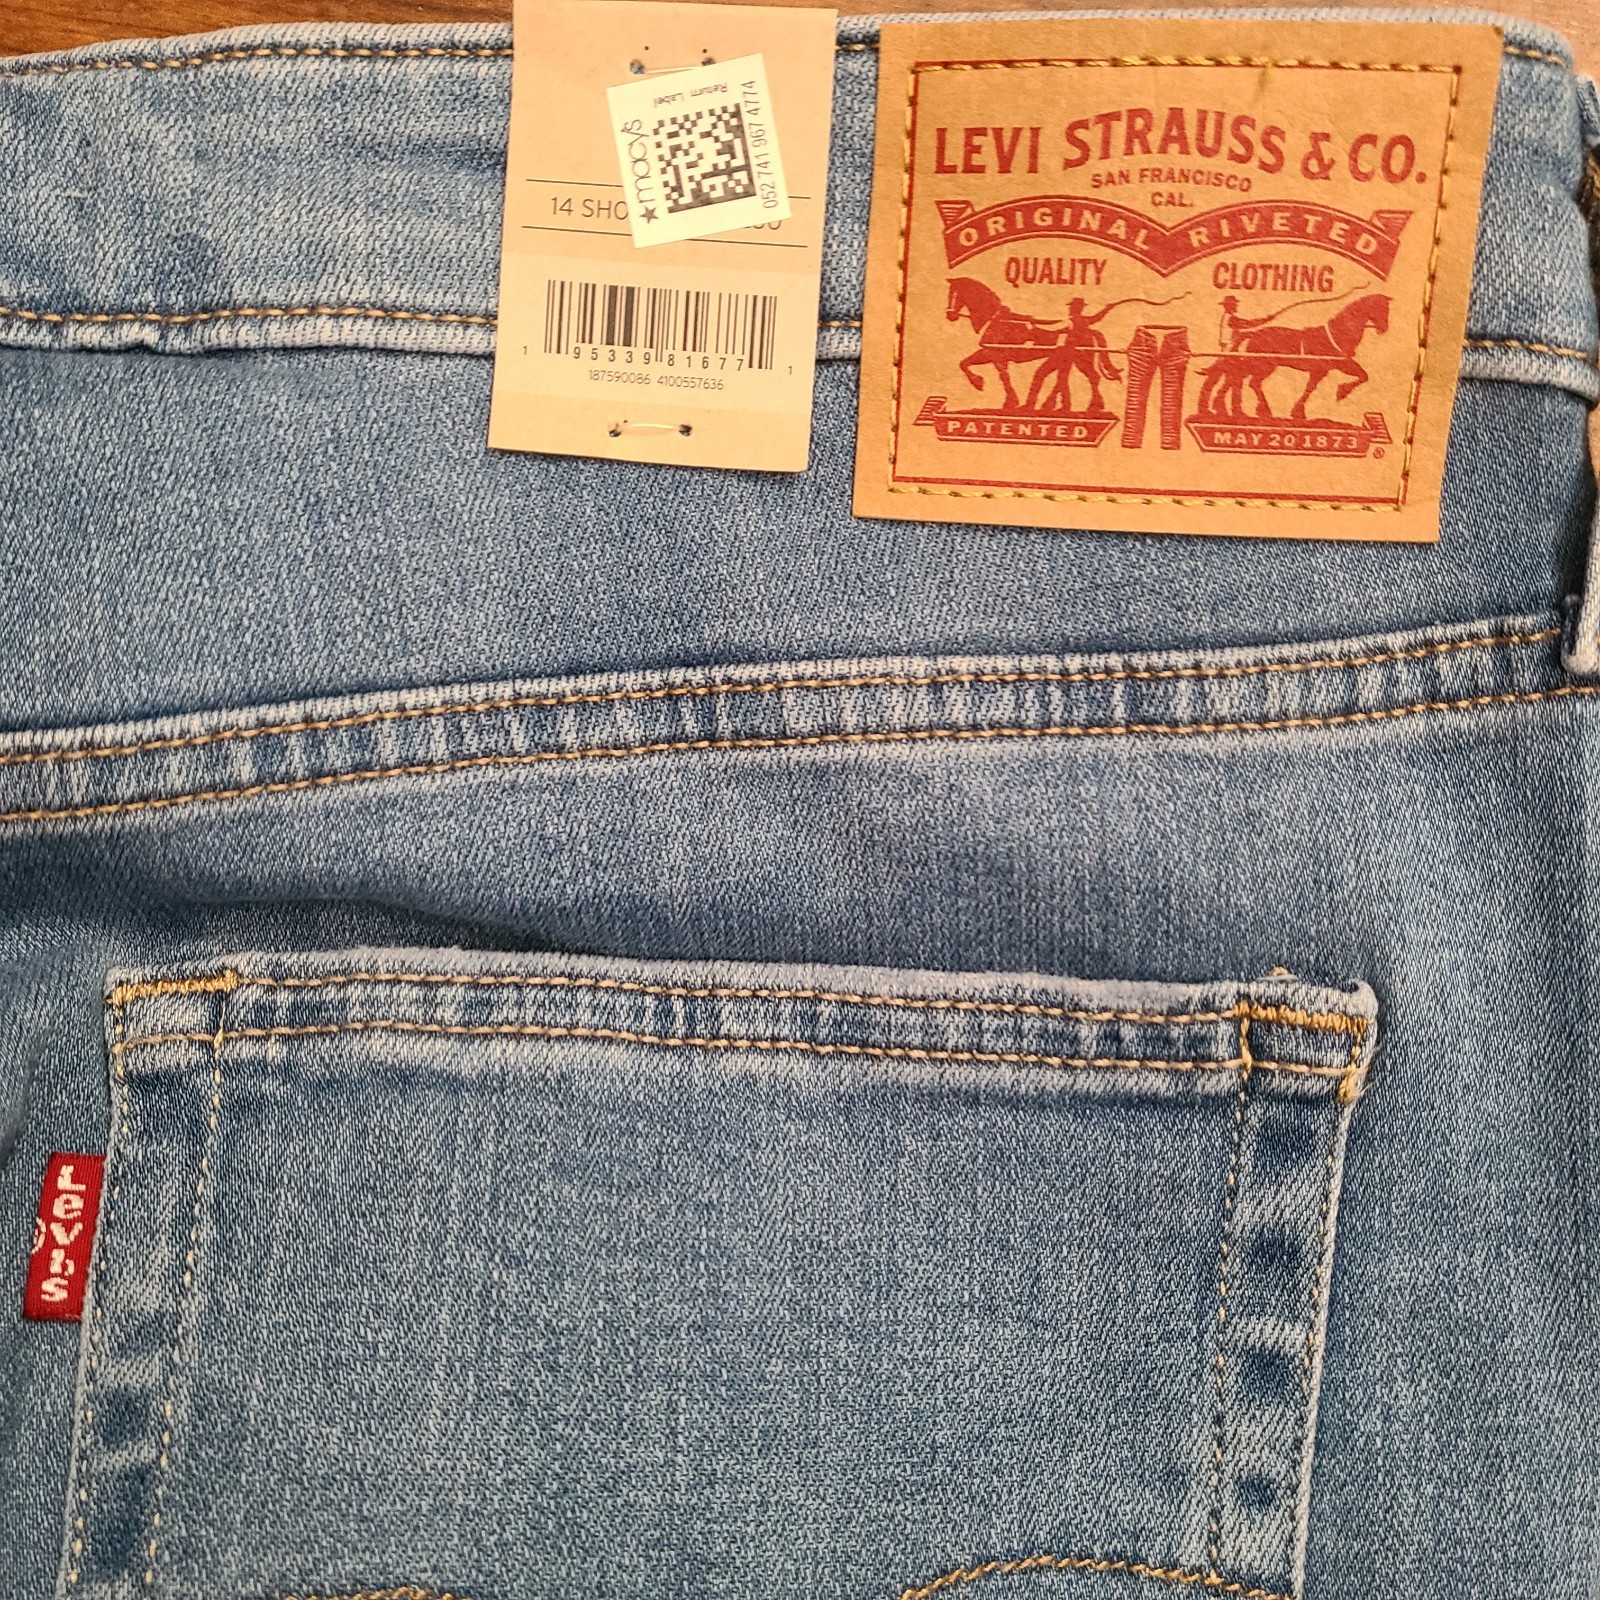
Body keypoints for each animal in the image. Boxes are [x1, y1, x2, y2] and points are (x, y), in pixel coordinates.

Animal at [1197, 295, 1391, 421]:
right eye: (1382, 309)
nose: (1384, 329)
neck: (1338, 334)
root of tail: (1251, 333)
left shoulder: (1322, 370)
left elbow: (1312, 387)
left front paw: (1299, 412)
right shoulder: (1336, 365)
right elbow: (1362, 376)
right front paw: (1341, 392)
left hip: (1262, 365)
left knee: (1240, 379)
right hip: (1262, 364)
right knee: (1243, 379)